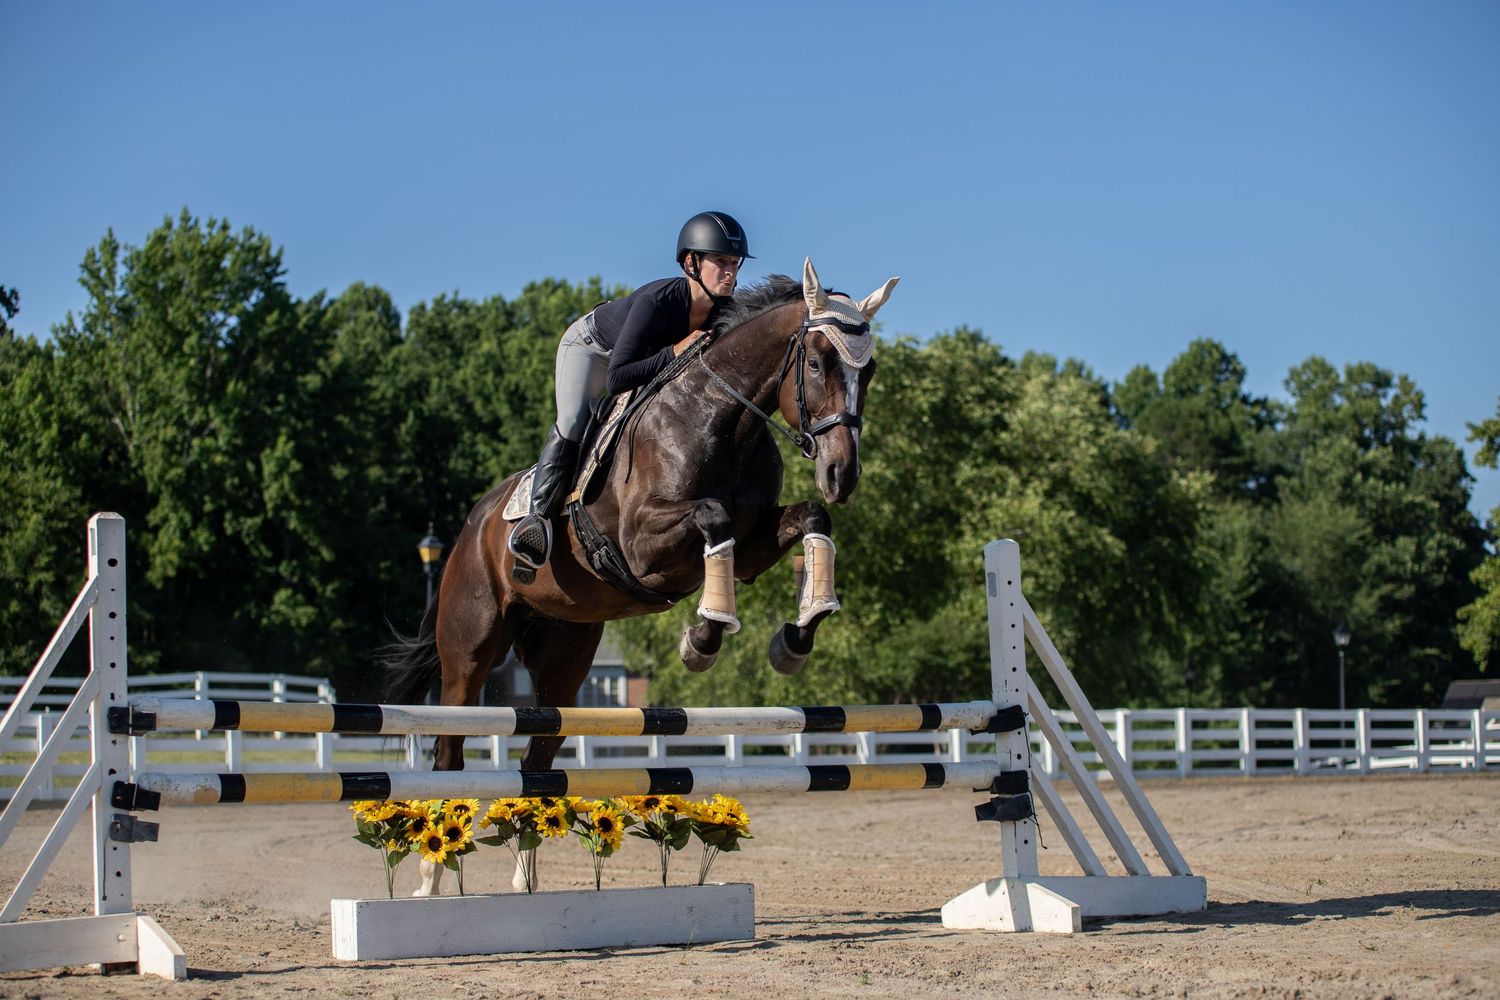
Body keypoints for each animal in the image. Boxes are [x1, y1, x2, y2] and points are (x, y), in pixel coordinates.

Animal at [380, 258, 897, 891]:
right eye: (819, 362)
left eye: (869, 371)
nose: (840, 475)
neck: (722, 418)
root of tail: (469, 528)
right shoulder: (644, 546)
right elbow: (712, 517)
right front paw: (702, 638)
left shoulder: (752, 547)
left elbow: (808, 520)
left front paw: (796, 636)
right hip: (471, 648)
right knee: (450, 751)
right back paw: (431, 880)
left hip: (565, 659)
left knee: (538, 762)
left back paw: (524, 883)